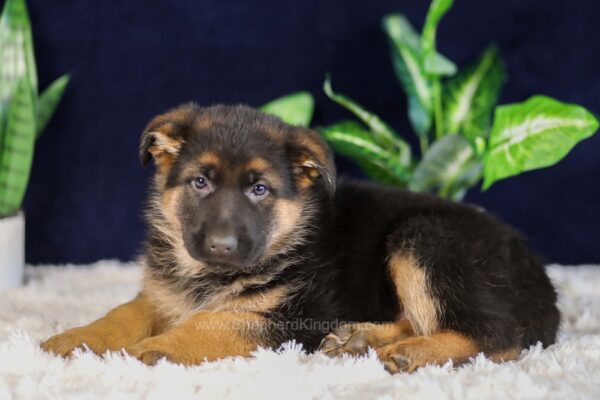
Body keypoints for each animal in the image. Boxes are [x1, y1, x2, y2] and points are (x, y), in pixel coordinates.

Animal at [41, 102, 556, 372]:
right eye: (199, 183)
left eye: (259, 189)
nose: (222, 246)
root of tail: (539, 275)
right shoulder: (162, 295)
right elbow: (124, 312)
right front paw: (79, 337)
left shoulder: (295, 315)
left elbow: (218, 320)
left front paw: (159, 347)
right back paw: (360, 340)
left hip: (425, 238)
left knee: (497, 336)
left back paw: (410, 352)